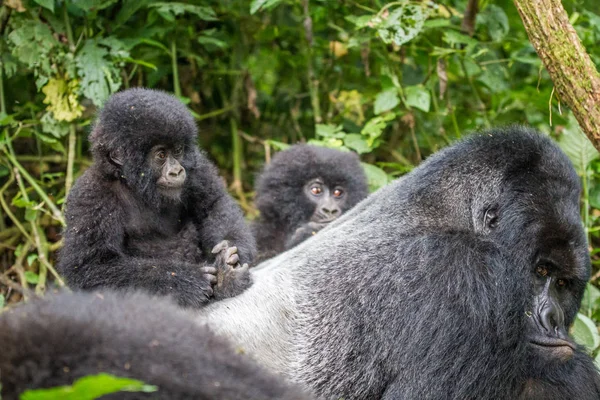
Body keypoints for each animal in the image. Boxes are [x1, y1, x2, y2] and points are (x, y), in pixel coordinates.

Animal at [59, 89, 258, 308]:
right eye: (161, 155)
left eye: (178, 150)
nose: (176, 171)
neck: (131, 182)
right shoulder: (90, 196)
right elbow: (92, 266)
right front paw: (186, 281)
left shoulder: (196, 165)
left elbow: (214, 204)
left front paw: (232, 254)